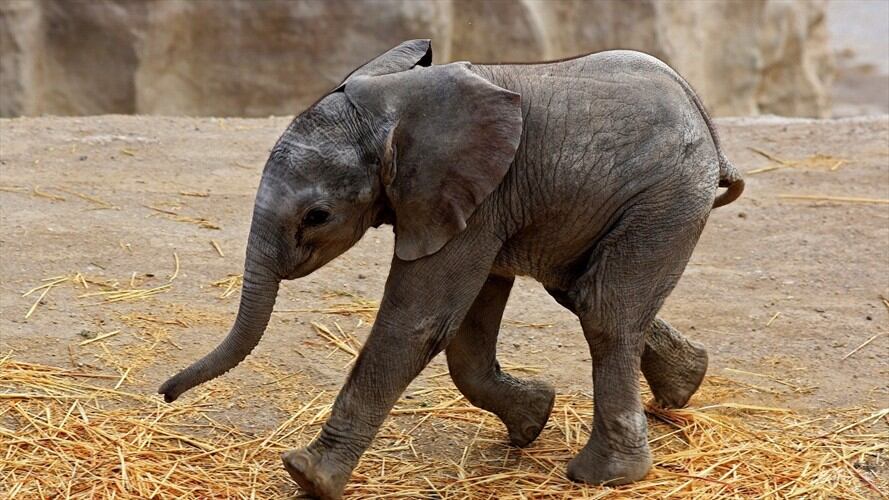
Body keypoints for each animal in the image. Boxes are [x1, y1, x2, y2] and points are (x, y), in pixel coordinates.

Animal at [159, 40, 744, 498]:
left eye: (317, 216)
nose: (164, 394)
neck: (395, 103)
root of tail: (708, 126)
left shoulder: (476, 195)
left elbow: (419, 323)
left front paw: (307, 477)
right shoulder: (474, 201)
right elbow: (466, 328)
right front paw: (532, 422)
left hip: (664, 196)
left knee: (604, 310)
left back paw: (604, 477)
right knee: (577, 291)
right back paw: (683, 389)